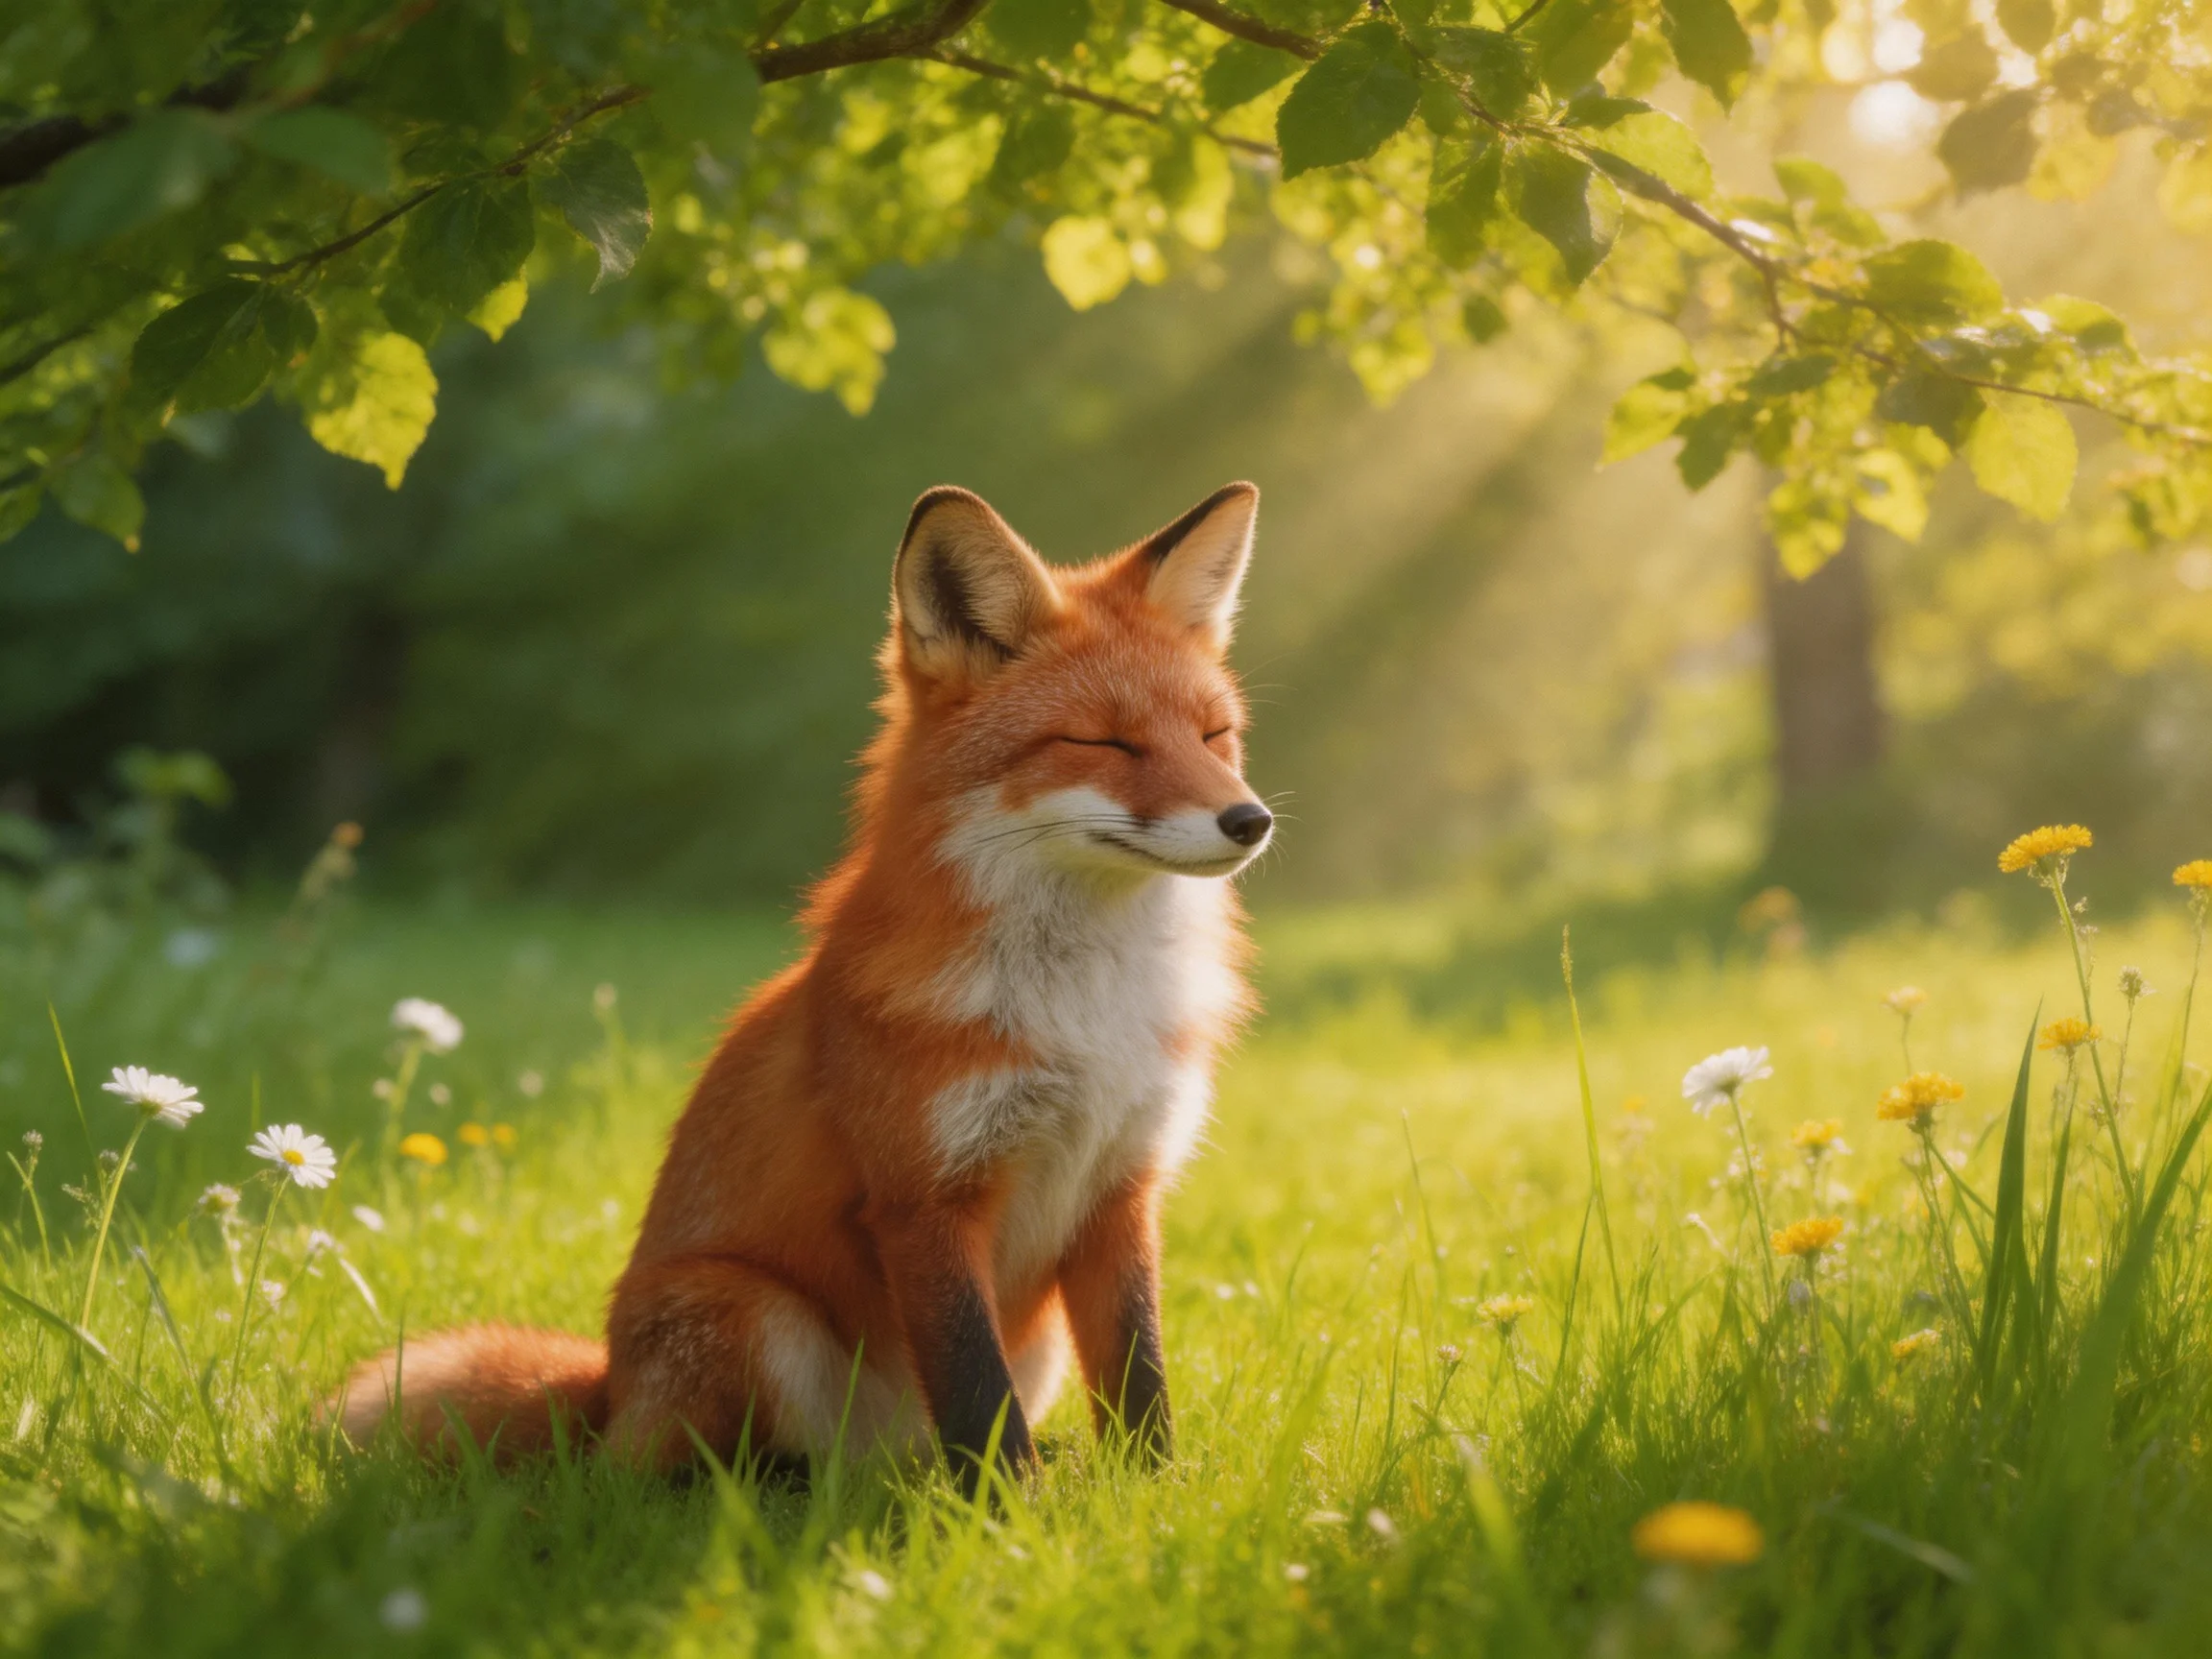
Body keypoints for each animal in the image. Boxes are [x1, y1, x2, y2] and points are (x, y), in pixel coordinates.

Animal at [336, 481, 1274, 1487]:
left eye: (1215, 735)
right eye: (1107, 743)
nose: (1250, 819)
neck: (1087, 1012)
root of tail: (606, 1391)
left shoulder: (1121, 1190)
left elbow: (1140, 1381)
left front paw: (1152, 1494)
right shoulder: (921, 1201)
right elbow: (978, 1397)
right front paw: (1011, 1510)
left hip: (1030, 1342)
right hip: (750, 1311)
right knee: (694, 1472)